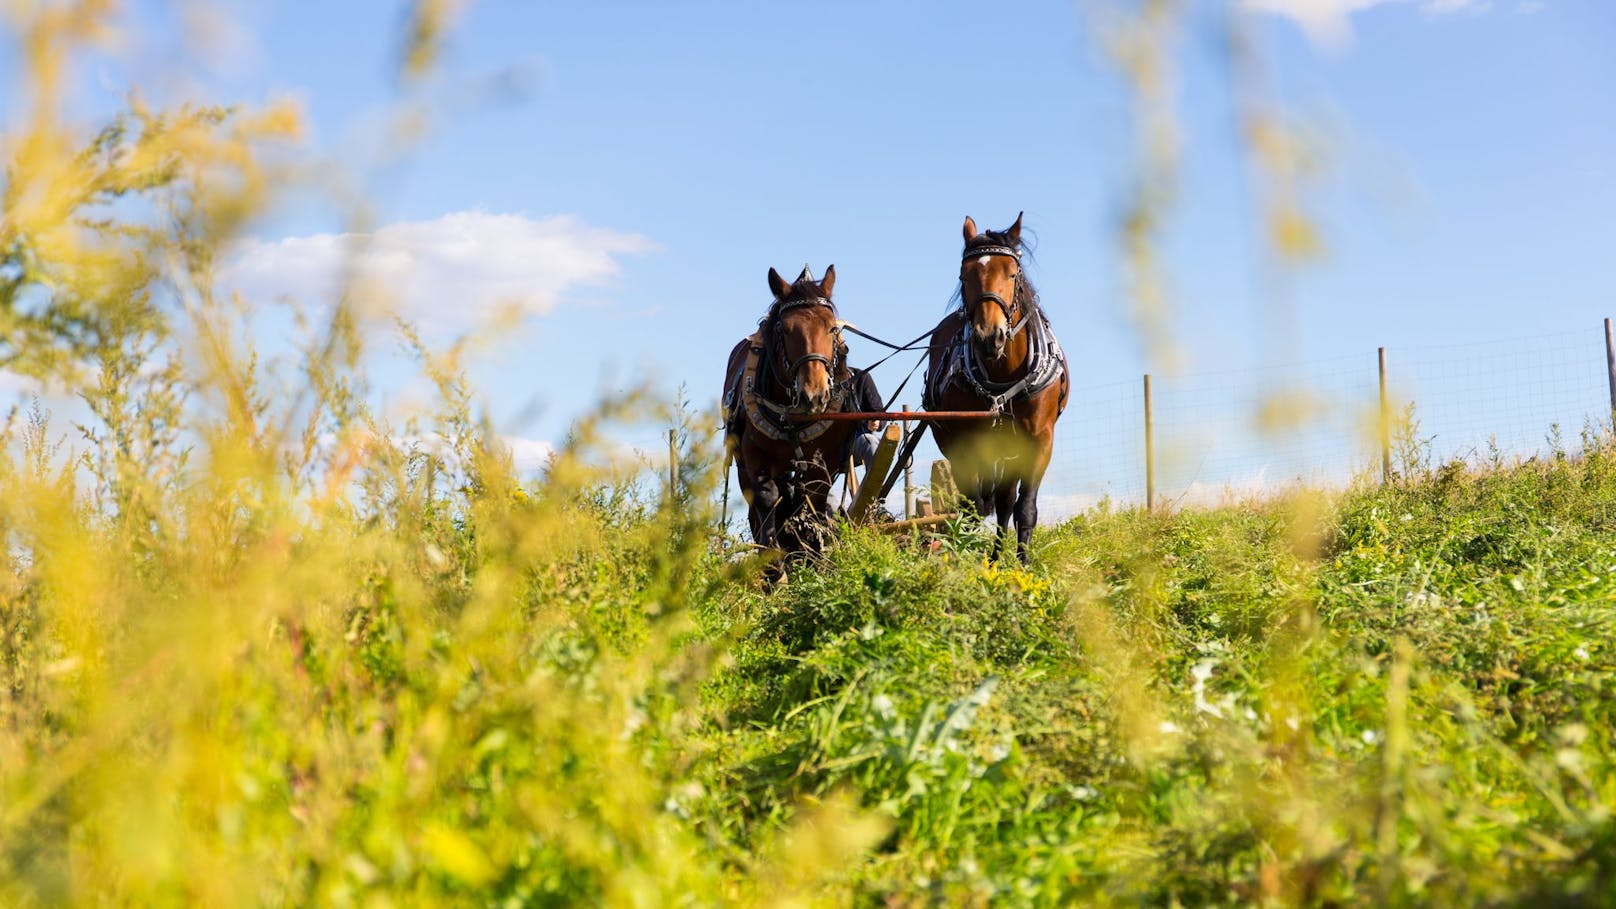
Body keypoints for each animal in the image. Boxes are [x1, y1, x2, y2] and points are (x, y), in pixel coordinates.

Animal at [723, 265, 859, 569]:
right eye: (785, 330)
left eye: (832, 328)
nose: (814, 395)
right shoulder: (755, 456)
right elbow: (767, 498)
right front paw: (774, 567)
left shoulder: (823, 462)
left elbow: (812, 503)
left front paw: (812, 558)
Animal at [930, 213, 1066, 559]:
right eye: (965, 276)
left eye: (1012, 273)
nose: (988, 336)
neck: (1004, 375)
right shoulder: (967, 441)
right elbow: (974, 505)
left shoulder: (1039, 439)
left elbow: (1024, 508)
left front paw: (1022, 563)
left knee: (1005, 502)